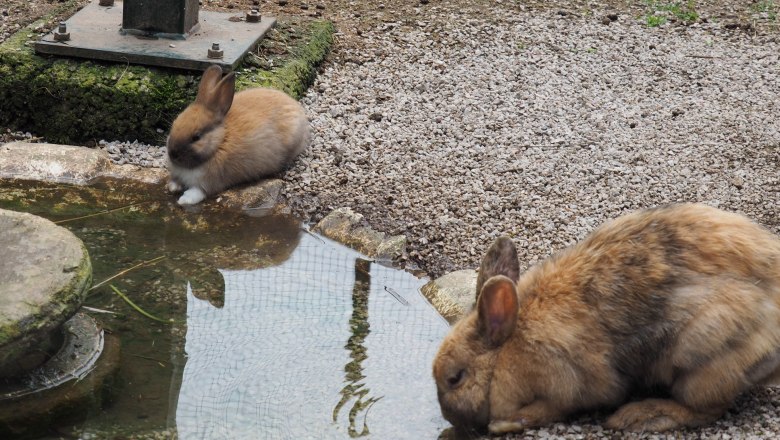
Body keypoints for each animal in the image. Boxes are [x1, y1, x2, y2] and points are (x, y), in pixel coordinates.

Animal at [166, 64, 310, 205]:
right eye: (174, 124)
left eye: (196, 137)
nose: (173, 154)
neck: (220, 141)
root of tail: (296, 106)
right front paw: (173, 187)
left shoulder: (211, 181)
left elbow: (198, 191)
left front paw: (183, 200)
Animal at [432, 205, 780, 434]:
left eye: (455, 378)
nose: (452, 421)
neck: (509, 342)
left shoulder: (564, 384)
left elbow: (545, 411)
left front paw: (503, 424)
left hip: (702, 356)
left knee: (705, 409)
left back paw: (639, 417)